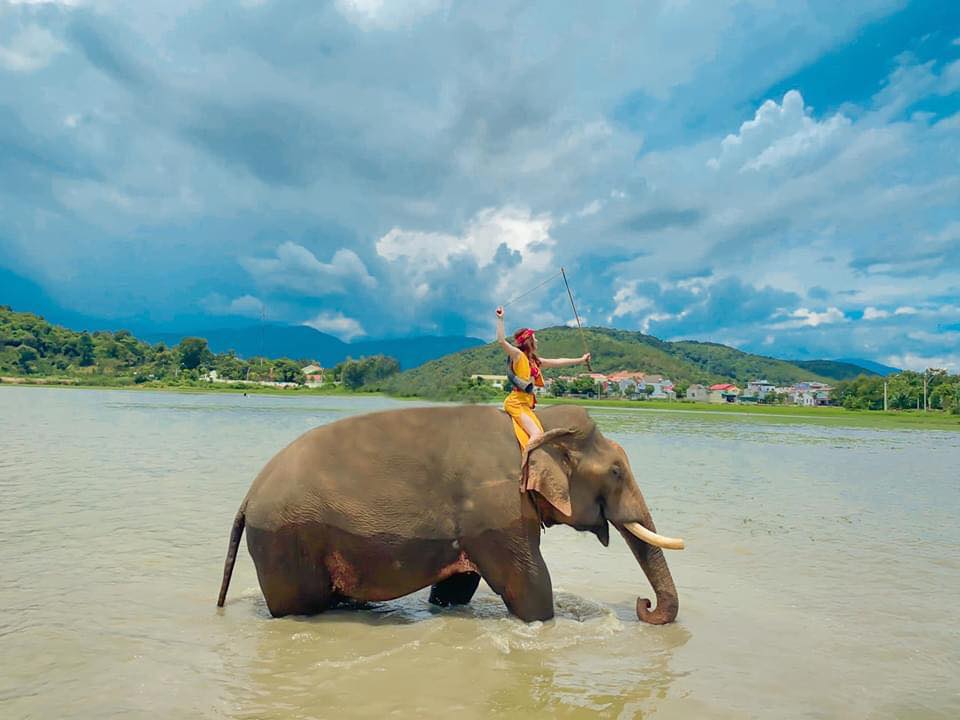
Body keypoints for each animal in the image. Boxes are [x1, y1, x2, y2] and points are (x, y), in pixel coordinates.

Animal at [218, 404, 684, 624]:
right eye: (617, 471)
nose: (642, 605)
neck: (534, 422)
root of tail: (247, 496)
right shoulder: (497, 510)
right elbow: (529, 585)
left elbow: (458, 587)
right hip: (286, 540)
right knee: (302, 605)